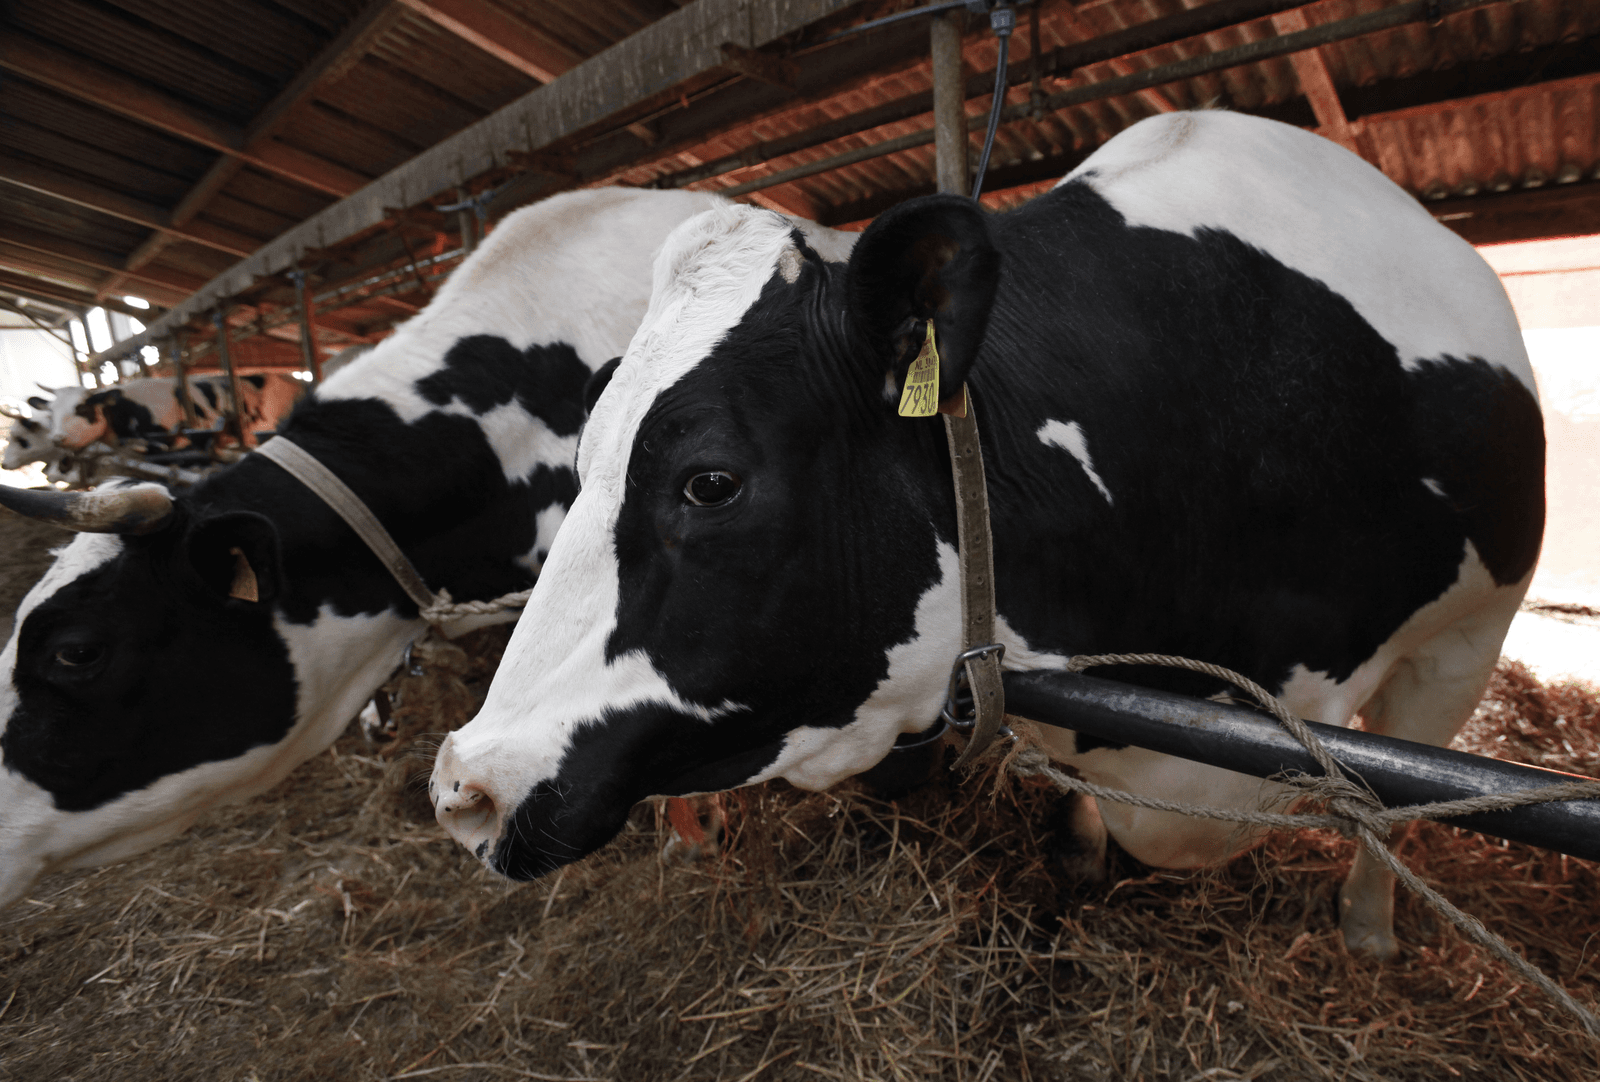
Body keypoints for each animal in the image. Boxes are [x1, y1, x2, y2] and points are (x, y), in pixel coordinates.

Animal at [429, 111, 1544, 962]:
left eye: (710, 482)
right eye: (581, 464)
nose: (460, 787)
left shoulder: (1465, 639)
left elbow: (1401, 808)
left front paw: (1368, 931)